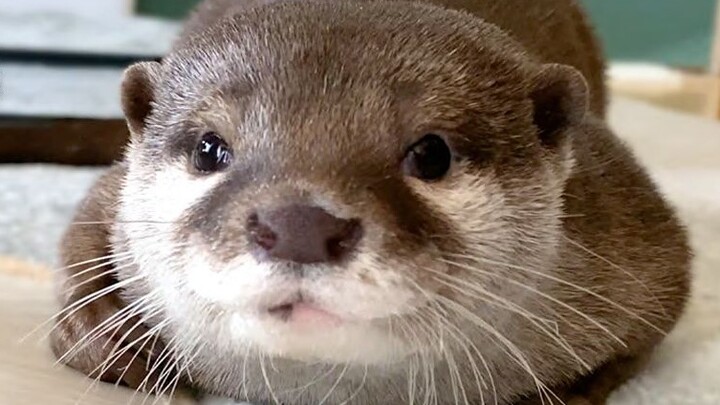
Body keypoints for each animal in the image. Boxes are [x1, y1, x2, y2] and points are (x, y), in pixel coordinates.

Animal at [50, 0, 690, 404]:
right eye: (210, 149)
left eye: (432, 154)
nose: (298, 225)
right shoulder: (115, 193)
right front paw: (108, 339)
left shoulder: (633, 229)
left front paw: (562, 393)